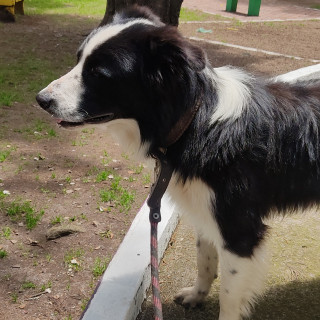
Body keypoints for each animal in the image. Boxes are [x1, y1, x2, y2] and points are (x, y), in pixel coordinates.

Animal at [36, 6, 320, 320]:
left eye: (98, 73)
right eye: (79, 59)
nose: (41, 99)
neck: (196, 122)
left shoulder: (239, 229)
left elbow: (229, 296)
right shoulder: (203, 209)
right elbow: (204, 257)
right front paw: (197, 295)